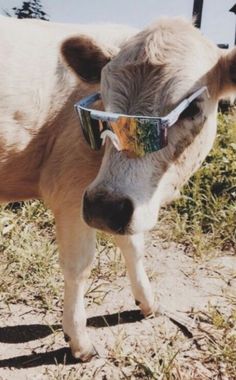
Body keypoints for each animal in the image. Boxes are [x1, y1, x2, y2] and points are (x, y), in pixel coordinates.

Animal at [0, 17, 236, 362]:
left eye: (192, 109)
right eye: (103, 104)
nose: (103, 208)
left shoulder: (119, 202)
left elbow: (134, 247)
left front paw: (148, 302)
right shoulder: (72, 191)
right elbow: (79, 266)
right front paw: (79, 340)